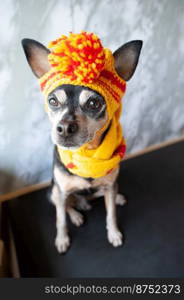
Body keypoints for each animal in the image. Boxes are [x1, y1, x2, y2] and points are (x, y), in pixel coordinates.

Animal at [21, 32, 142, 253]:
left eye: (93, 103)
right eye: (52, 101)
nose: (64, 127)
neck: (87, 155)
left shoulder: (109, 185)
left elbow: (111, 213)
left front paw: (113, 233)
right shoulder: (60, 191)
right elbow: (60, 219)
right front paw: (62, 239)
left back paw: (115, 198)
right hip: (53, 191)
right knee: (66, 205)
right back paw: (77, 214)